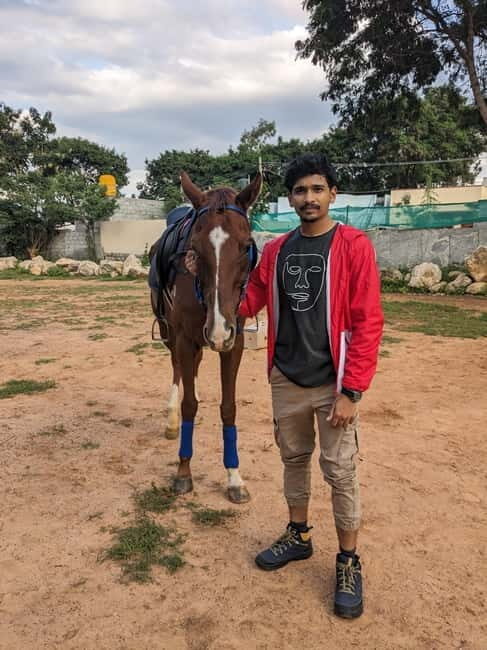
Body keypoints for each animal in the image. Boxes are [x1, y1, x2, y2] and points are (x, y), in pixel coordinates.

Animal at [150, 171, 262, 504]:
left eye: (246, 245)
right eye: (195, 249)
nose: (218, 327)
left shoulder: (233, 343)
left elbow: (229, 407)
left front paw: (234, 478)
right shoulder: (186, 339)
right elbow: (189, 404)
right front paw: (183, 472)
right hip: (170, 334)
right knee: (177, 370)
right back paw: (172, 420)